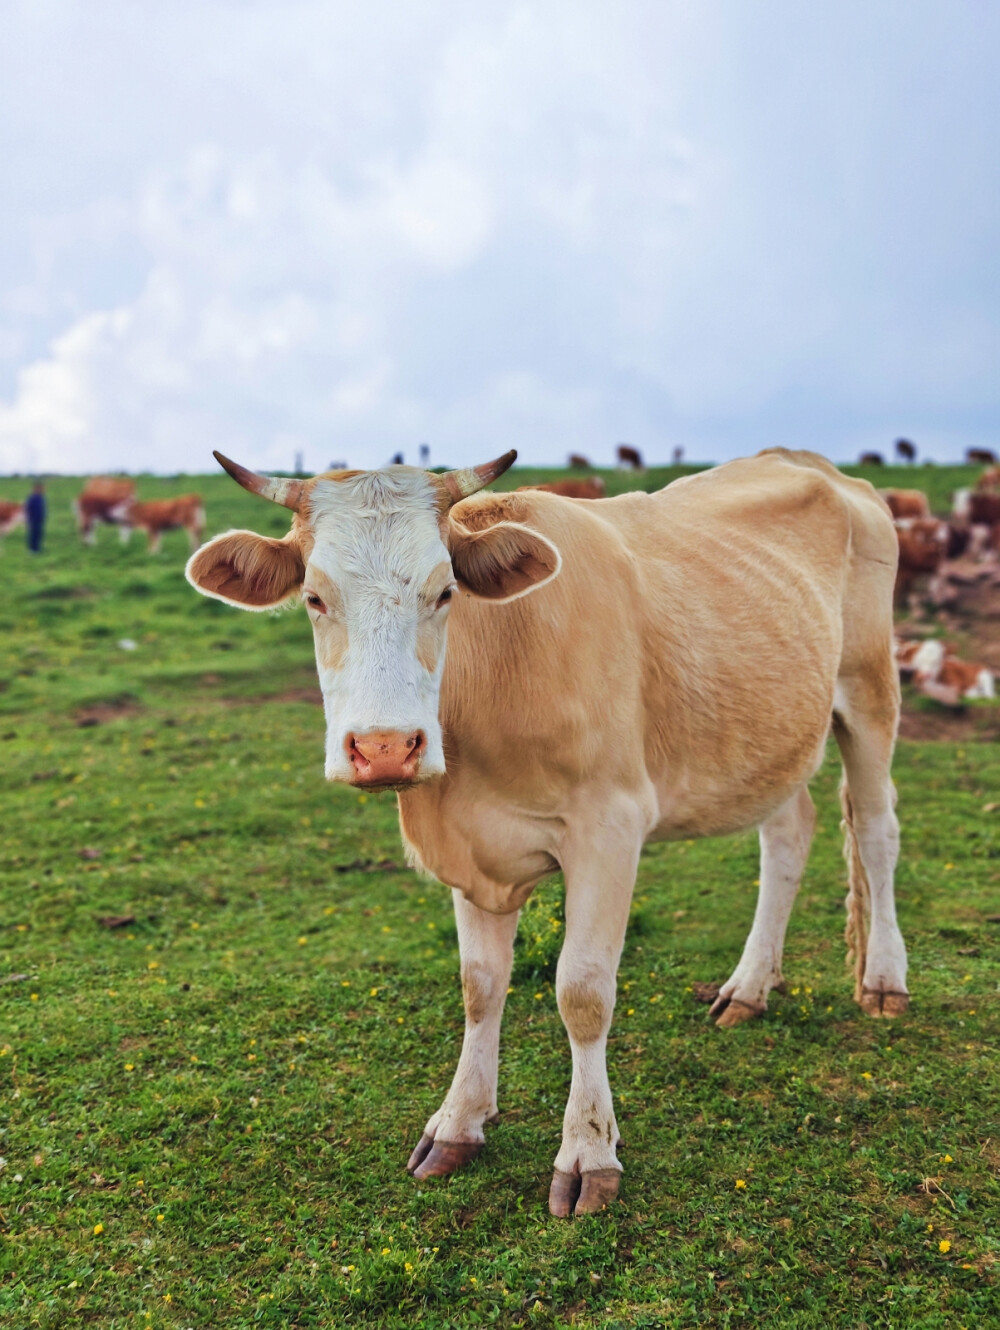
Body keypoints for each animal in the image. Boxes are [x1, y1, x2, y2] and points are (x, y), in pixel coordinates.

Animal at [183, 446, 909, 1218]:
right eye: (316, 599)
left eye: (446, 591)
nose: (384, 748)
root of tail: (807, 461)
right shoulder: (471, 845)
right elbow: (479, 985)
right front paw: (459, 1122)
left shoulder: (610, 828)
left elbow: (582, 993)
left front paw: (589, 1152)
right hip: (771, 733)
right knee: (788, 837)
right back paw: (748, 985)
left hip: (869, 692)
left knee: (877, 830)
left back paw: (884, 979)